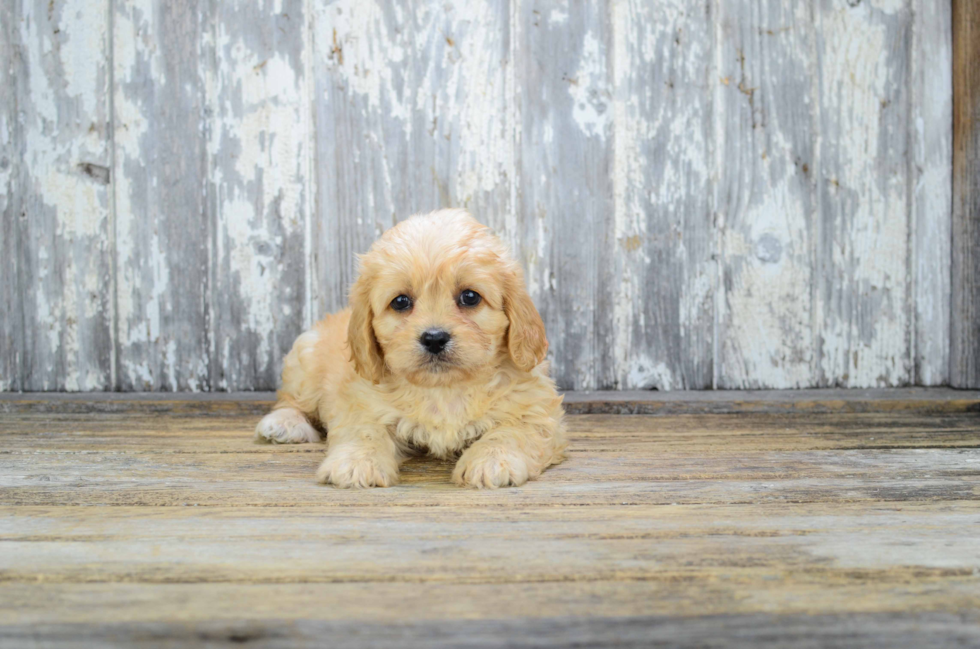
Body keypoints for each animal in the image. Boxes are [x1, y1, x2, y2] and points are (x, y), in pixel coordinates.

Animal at [255, 208, 568, 486]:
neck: (443, 390)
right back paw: (283, 425)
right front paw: (356, 463)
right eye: (401, 301)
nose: (434, 338)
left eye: (470, 297)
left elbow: (510, 432)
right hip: (305, 360)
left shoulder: (535, 411)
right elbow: (365, 431)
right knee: (291, 400)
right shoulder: (361, 402)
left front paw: (492, 461)